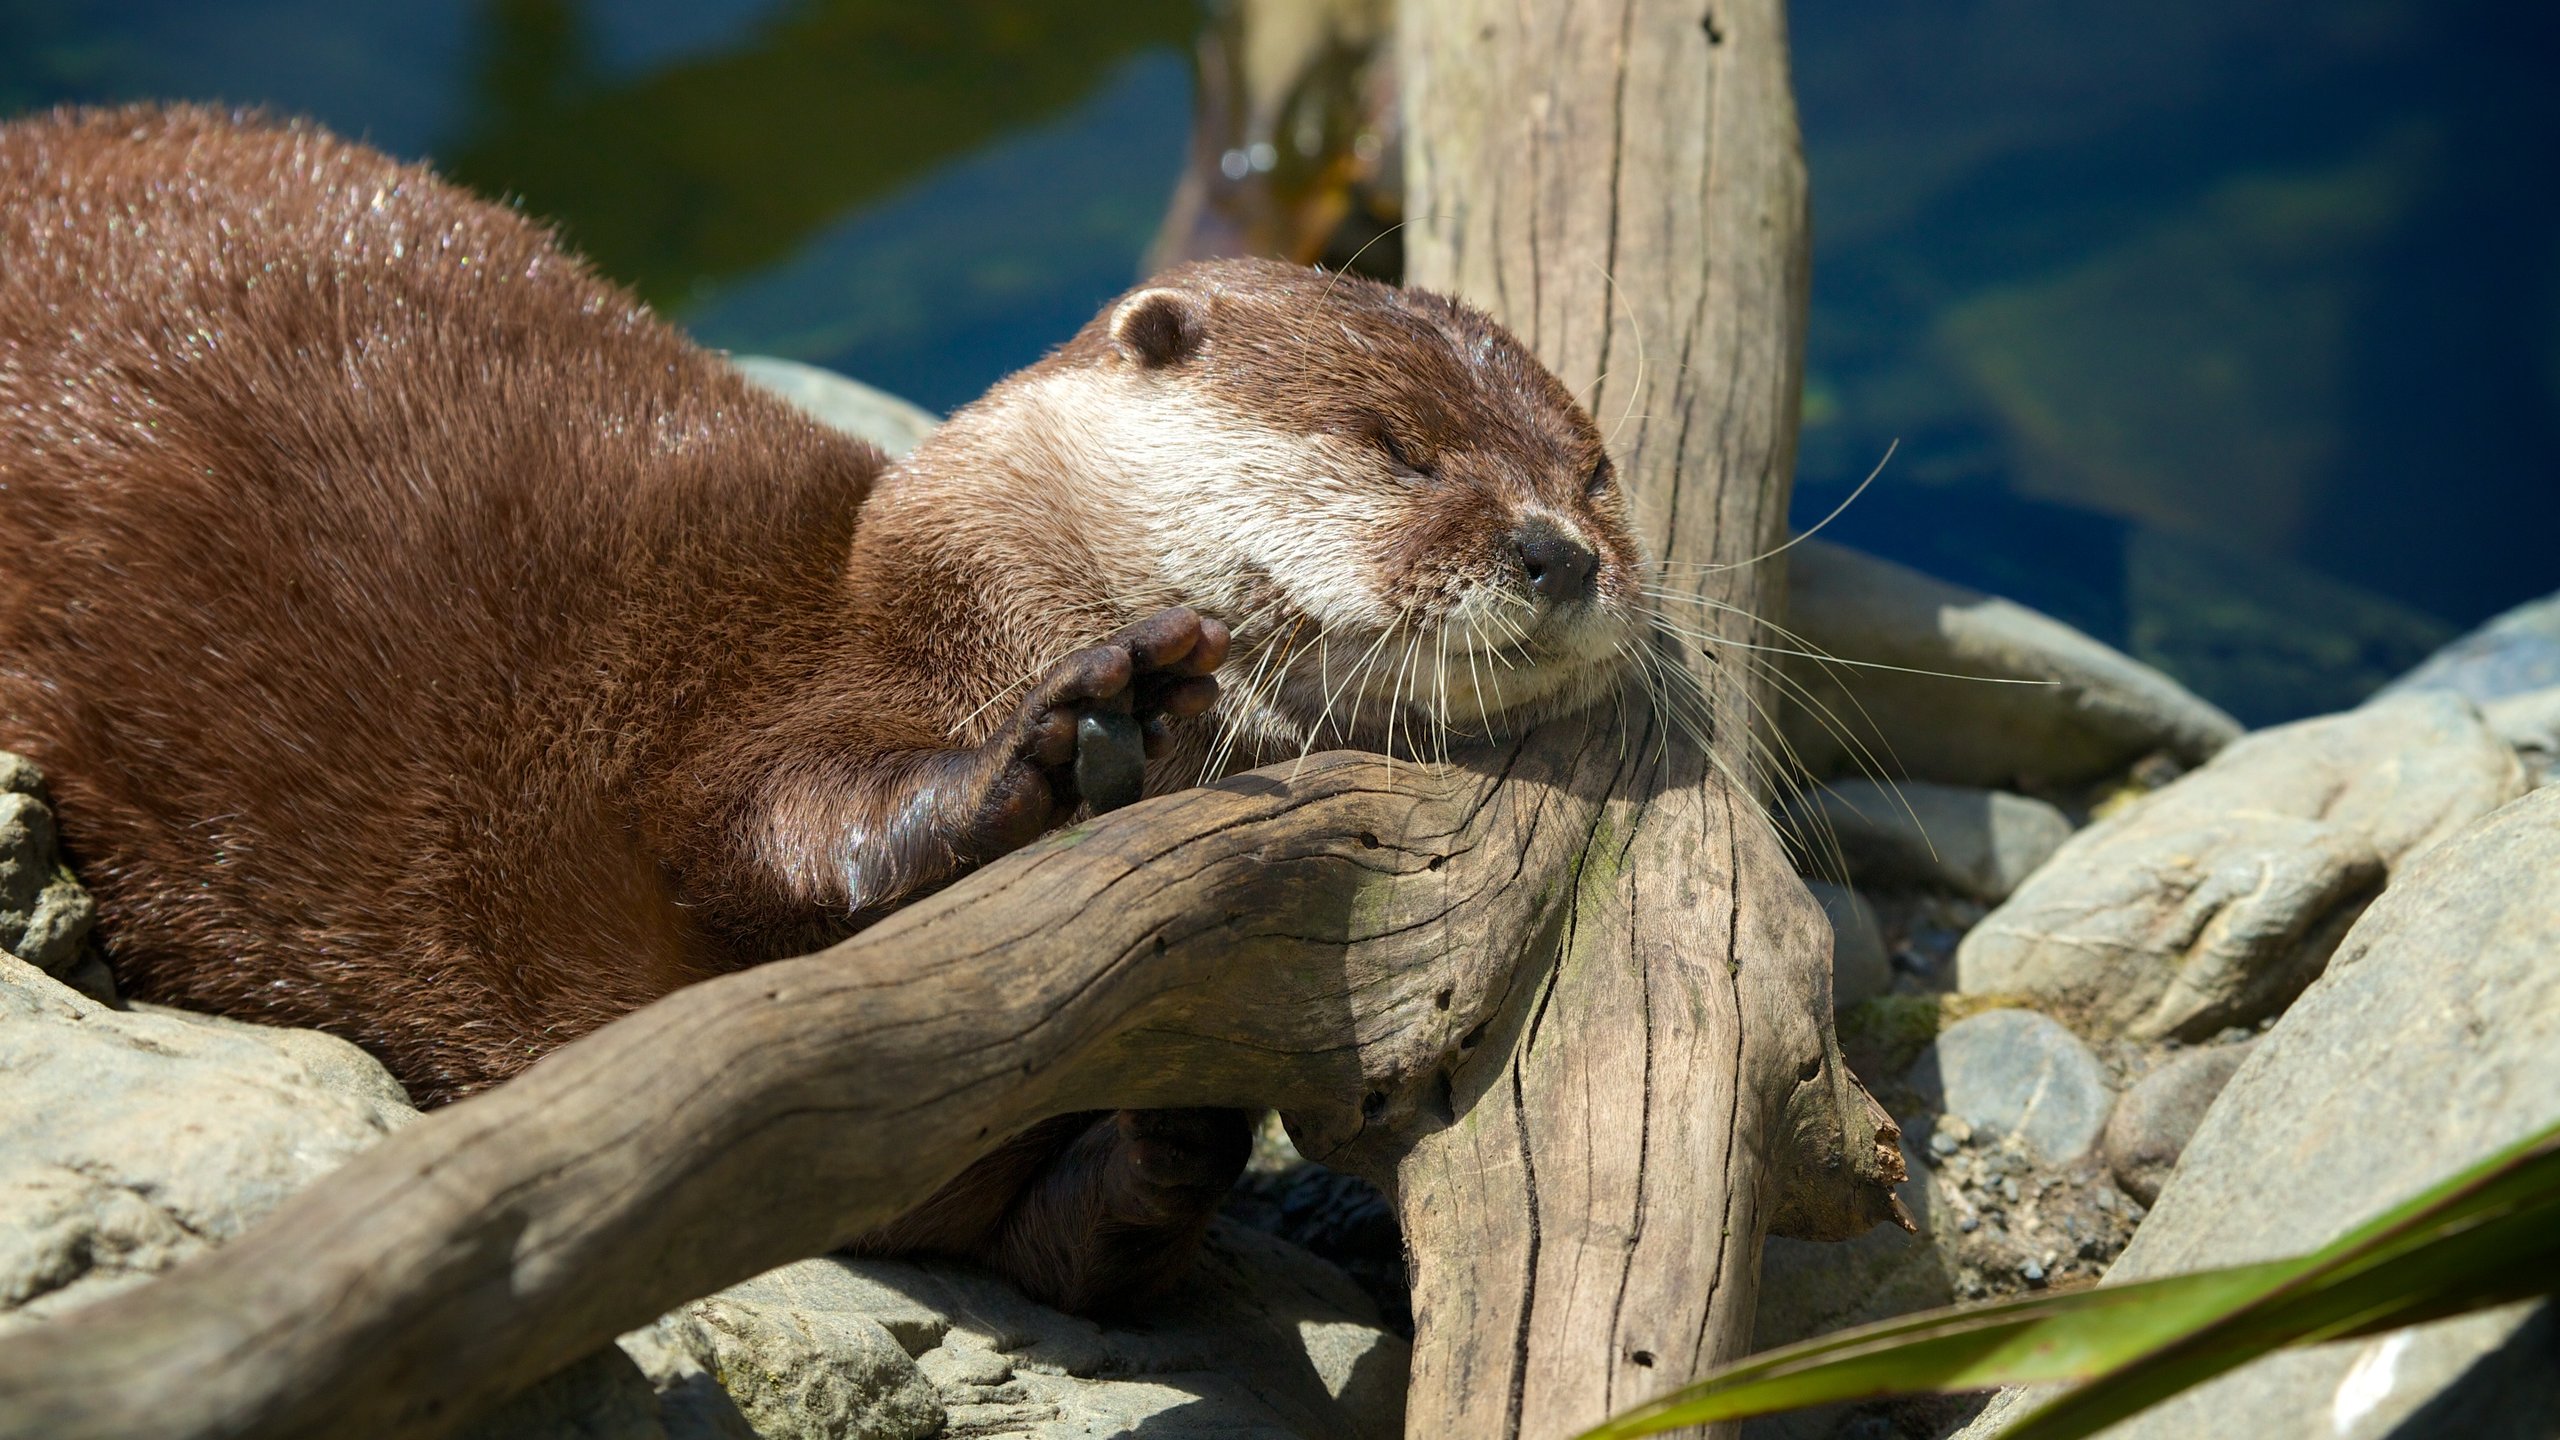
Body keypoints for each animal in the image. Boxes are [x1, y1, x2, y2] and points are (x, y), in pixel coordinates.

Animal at [0, 106, 1638, 1306]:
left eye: (1596, 472)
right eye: (1400, 449)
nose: (1558, 551)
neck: (941, 616)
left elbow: (1068, 1243)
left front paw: (1183, 1123)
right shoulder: (714, 712)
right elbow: (751, 827)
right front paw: (1067, 738)